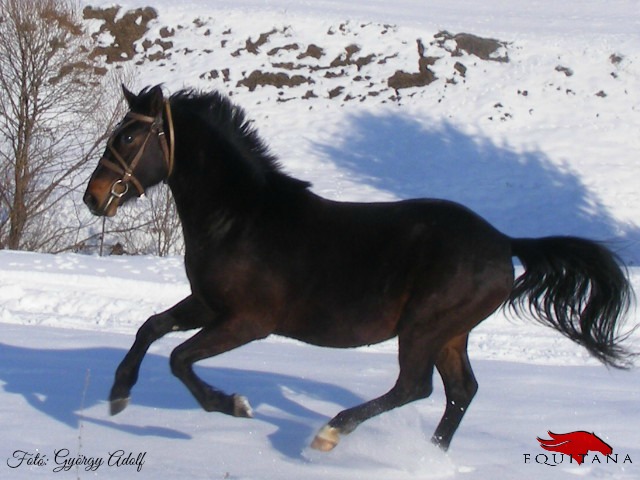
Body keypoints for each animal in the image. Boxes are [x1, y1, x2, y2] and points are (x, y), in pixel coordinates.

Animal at [85, 85, 636, 454]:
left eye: (130, 136)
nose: (93, 198)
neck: (239, 218)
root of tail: (503, 242)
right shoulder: (206, 304)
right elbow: (150, 327)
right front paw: (118, 394)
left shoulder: (247, 321)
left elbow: (180, 358)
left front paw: (234, 404)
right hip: (451, 334)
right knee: (460, 392)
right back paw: (430, 454)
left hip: (424, 328)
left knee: (416, 387)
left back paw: (331, 433)